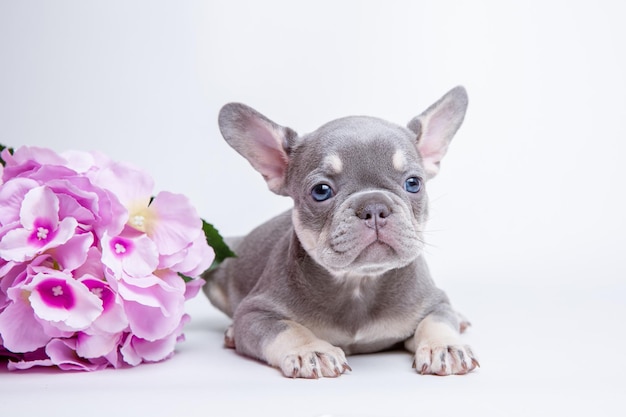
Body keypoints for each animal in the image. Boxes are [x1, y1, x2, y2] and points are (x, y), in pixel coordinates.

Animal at [202, 87, 476, 376]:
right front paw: (310, 350)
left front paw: (444, 346)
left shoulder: (434, 302)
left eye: (413, 183)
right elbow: (286, 328)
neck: (359, 282)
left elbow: (437, 320)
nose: (374, 206)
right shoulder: (255, 313)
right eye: (321, 191)